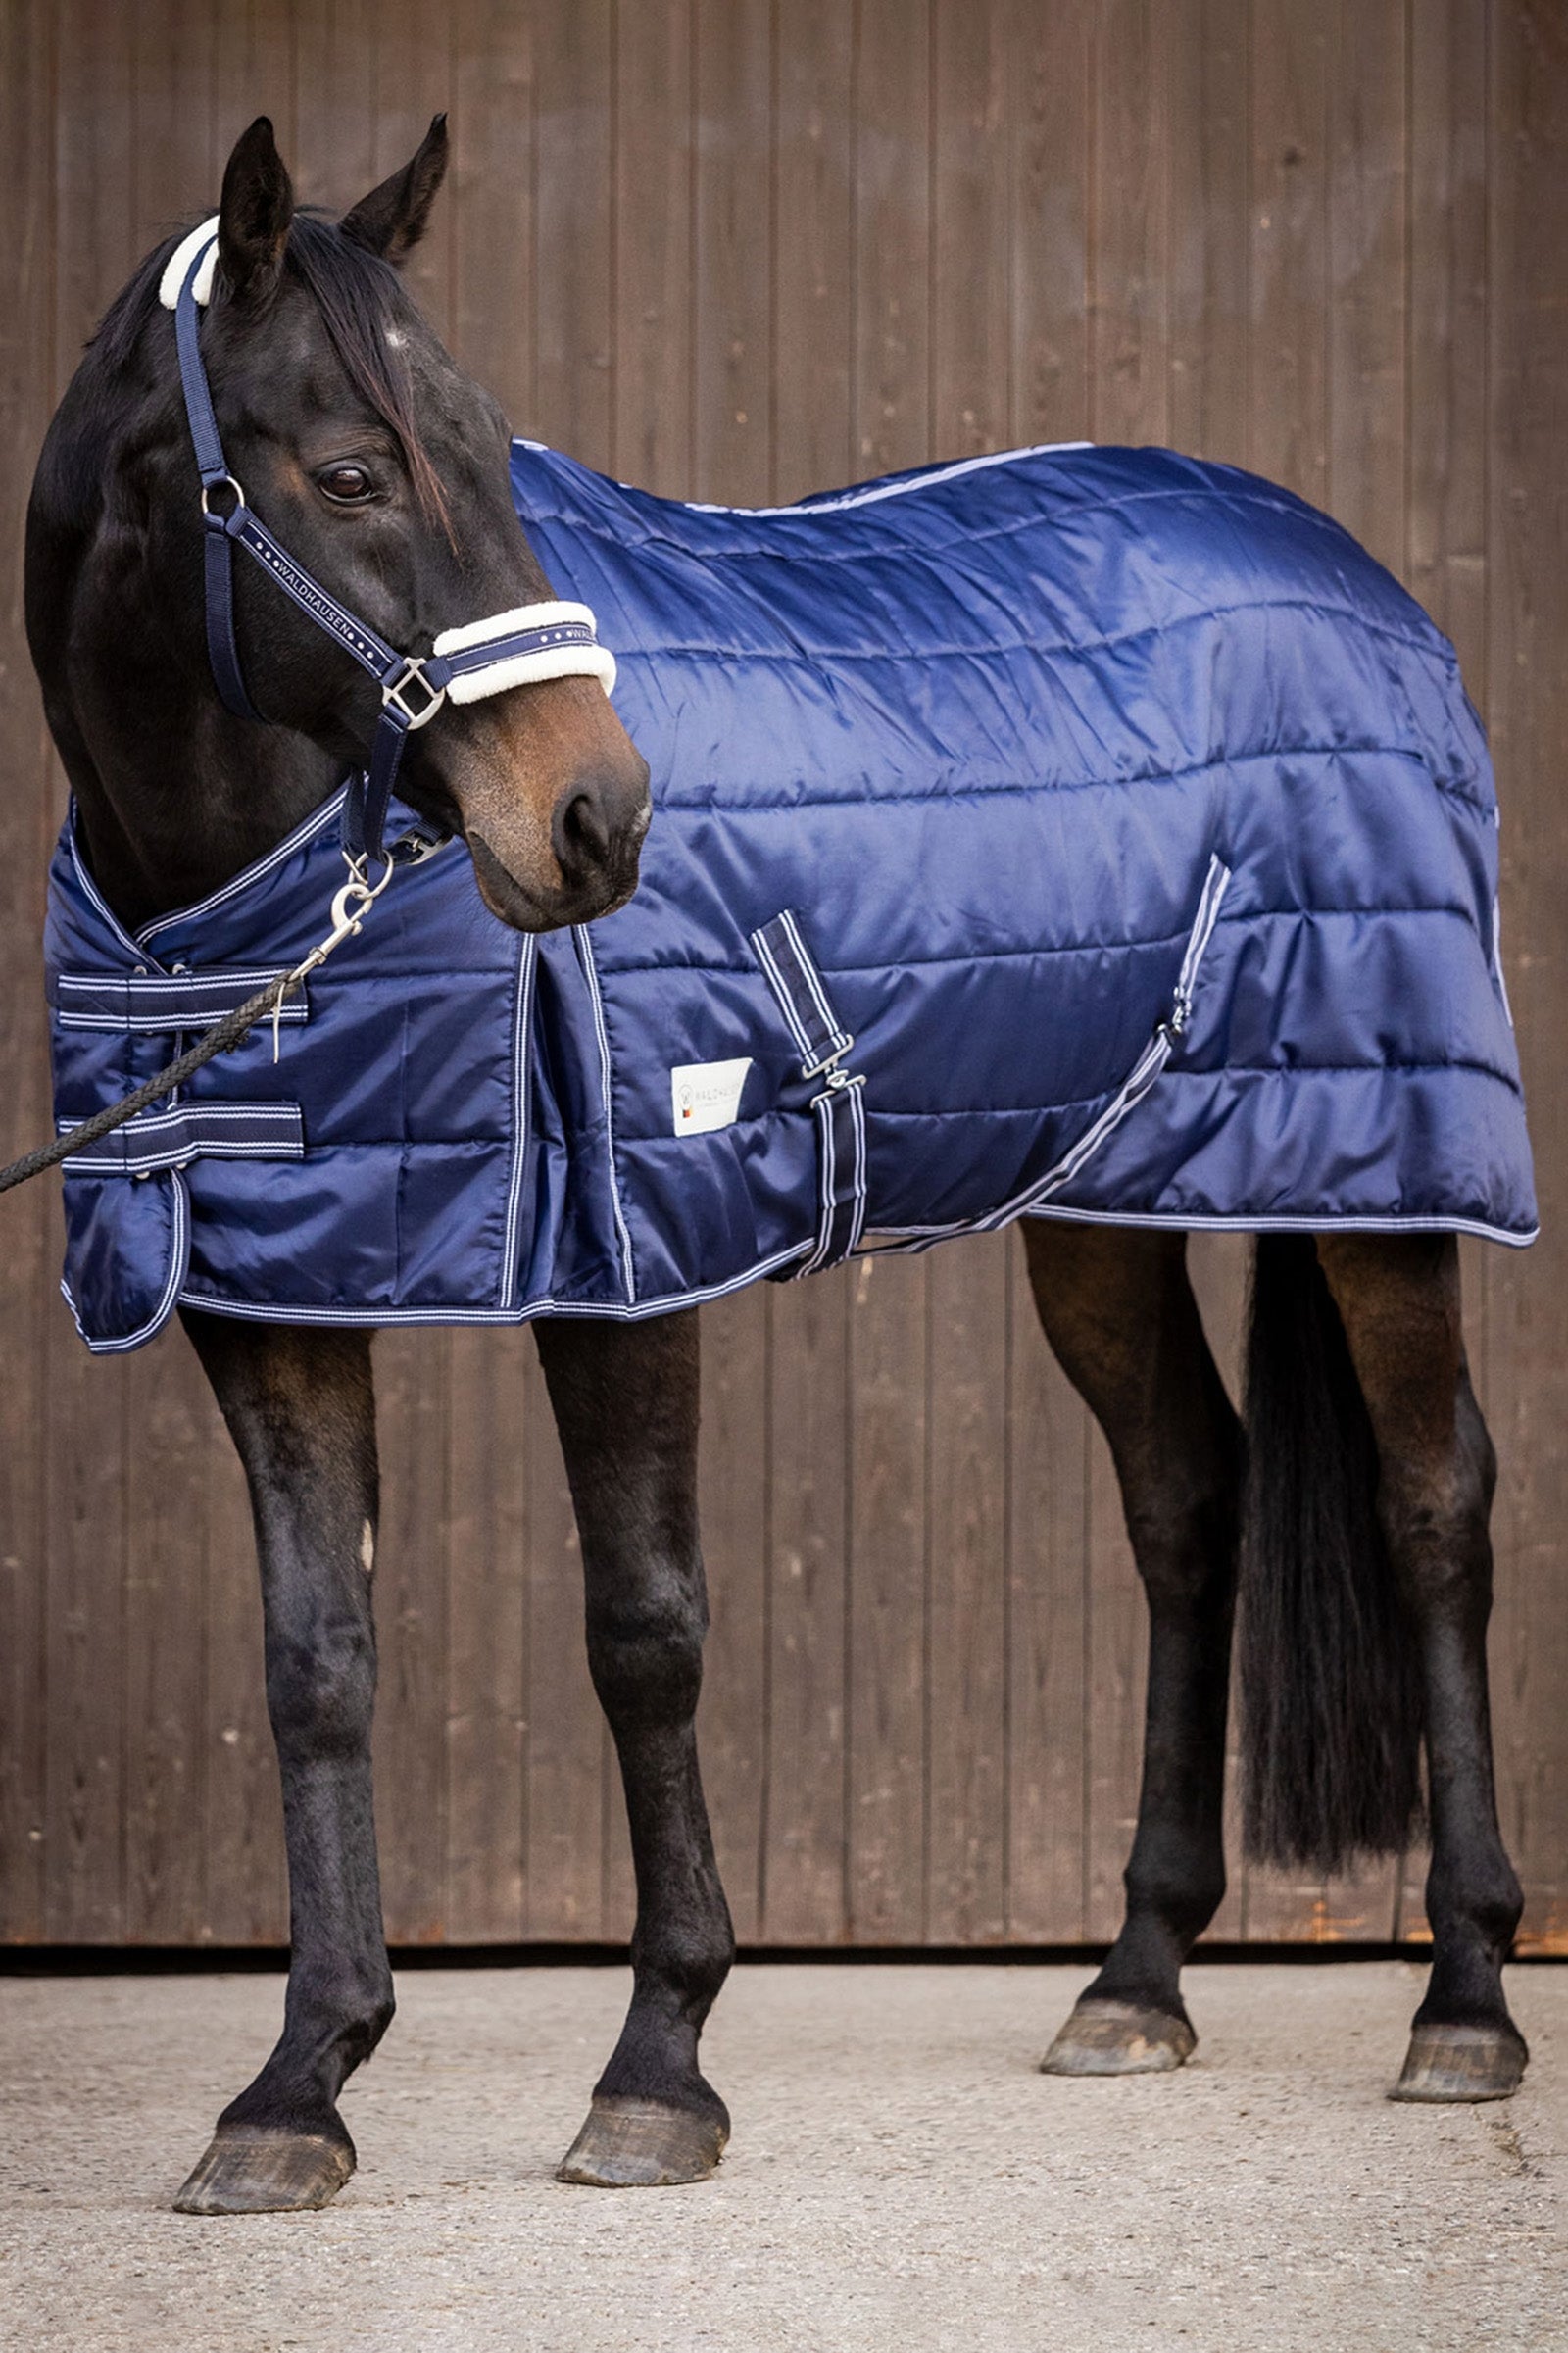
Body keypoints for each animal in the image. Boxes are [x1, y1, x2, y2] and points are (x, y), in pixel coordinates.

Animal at [22, 115, 1530, 2216]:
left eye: (493, 449)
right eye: (350, 470)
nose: (599, 817)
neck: (244, 908)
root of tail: (1358, 578)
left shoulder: (627, 1263)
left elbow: (645, 1633)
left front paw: (659, 2062)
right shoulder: (271, 1295)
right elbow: (317, 1664)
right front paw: (294, 2088)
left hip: (1382, 1176)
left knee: (1433, 1506)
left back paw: (1463, 1999)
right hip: (1099, 1198)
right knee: (1186, 1496)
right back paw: (1136, 1977)